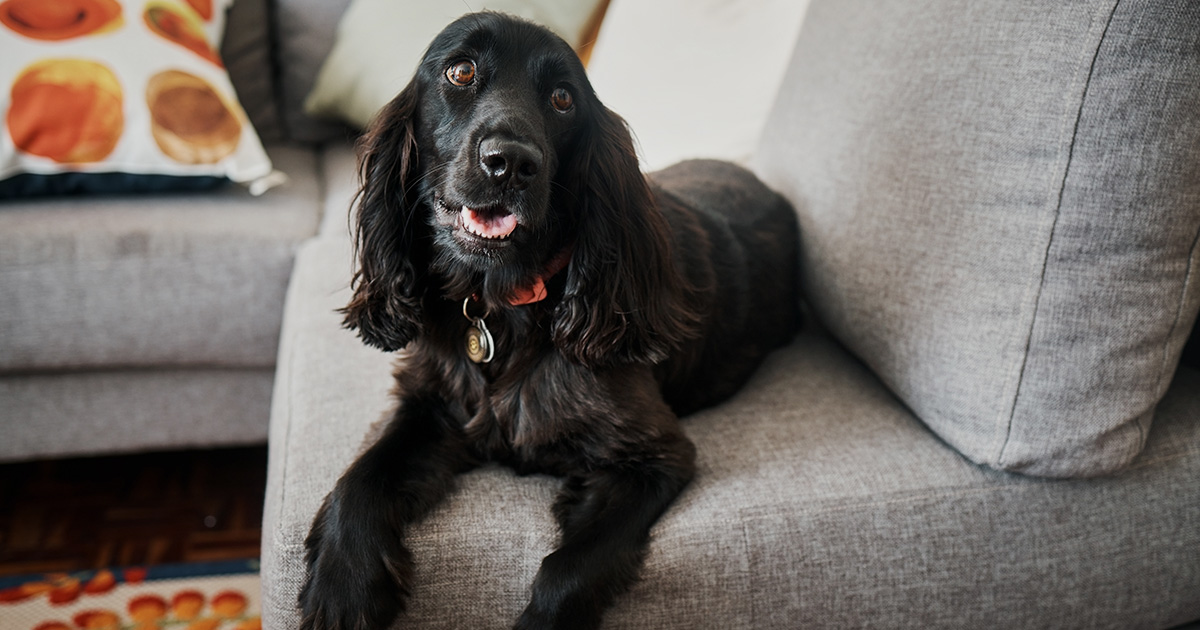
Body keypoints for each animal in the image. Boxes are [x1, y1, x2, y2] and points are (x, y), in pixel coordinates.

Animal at [300, 11, 801, 628]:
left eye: (563, 98)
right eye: (460, 71)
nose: (510, 163)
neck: (502, 304)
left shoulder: (654, 457)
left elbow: (569, 568)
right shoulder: (430, 403)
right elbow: (359, 480)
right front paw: (342, 587)